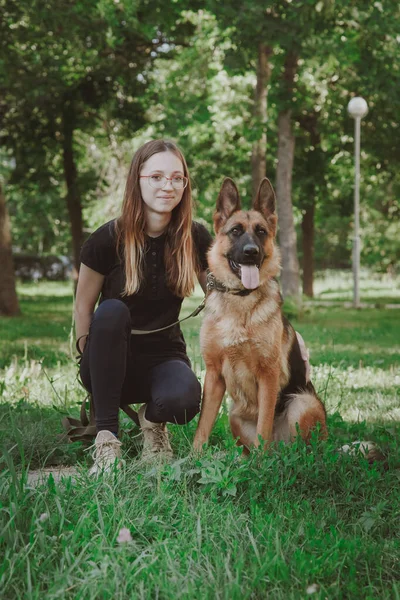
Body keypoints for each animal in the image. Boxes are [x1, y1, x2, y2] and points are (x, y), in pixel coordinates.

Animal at [194, 178, 328, 454]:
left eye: (261, 231)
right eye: (235, 231)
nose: (251, 251)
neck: (240, 300)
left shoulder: (268, 376)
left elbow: (263, 425)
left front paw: (261, 463)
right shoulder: (213, 376)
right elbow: (202, 426)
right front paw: (193, 457)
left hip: (302, 402)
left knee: (304, 450)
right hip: (234, 415)